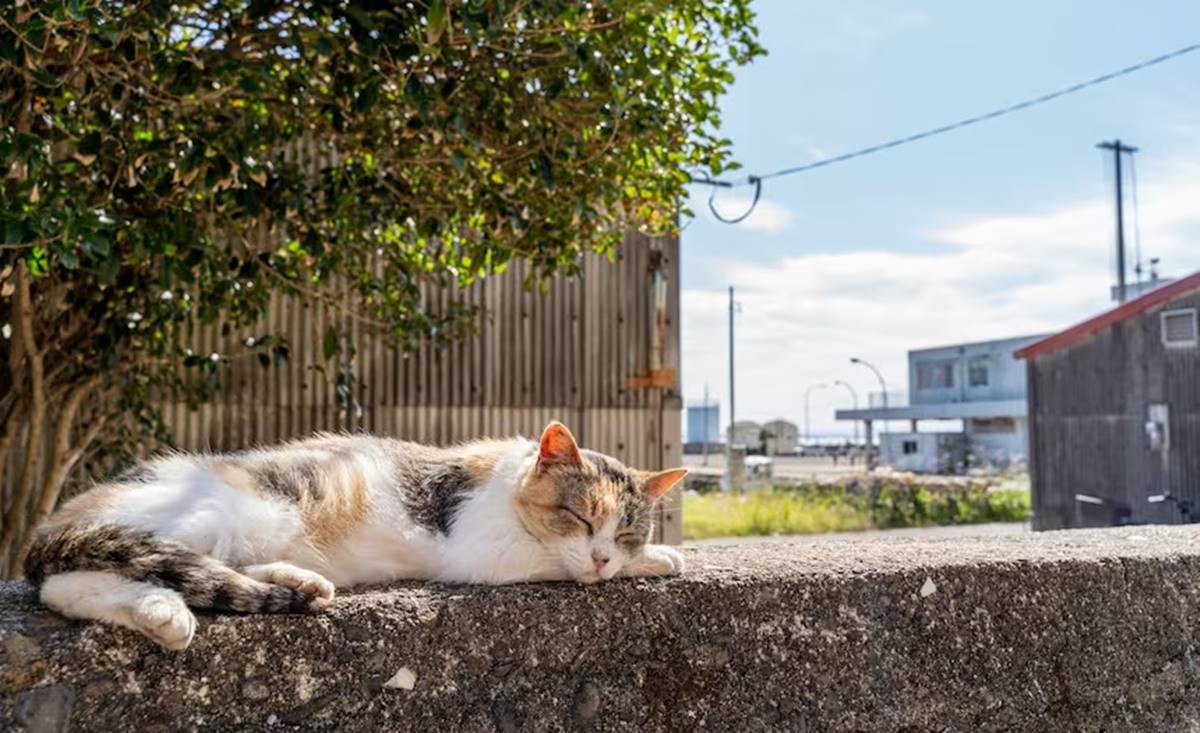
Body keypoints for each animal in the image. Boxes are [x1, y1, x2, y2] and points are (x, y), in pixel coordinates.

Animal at [23, 422, 691, 652]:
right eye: (581, 519)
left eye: (626, 530)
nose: (605, 556)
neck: (505, 479)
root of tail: (57, 517)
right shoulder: (484, 549)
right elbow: (553, 560)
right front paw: (661, 558)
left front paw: (648, 557)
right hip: (205, 512)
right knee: (70, 582)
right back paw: (162, 613)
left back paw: (299, 582)